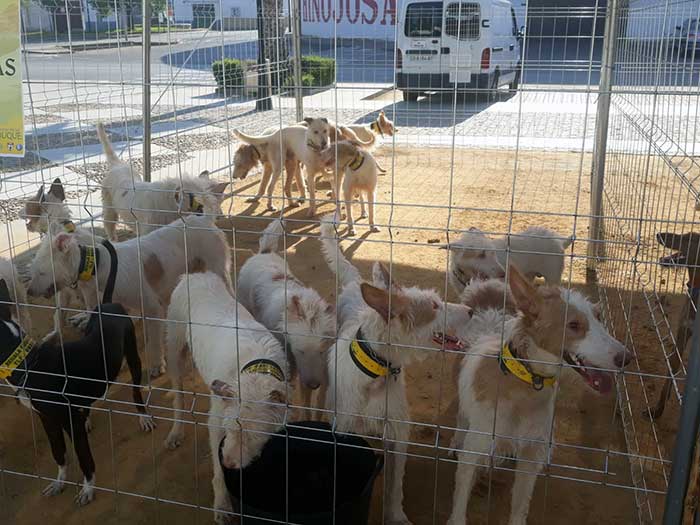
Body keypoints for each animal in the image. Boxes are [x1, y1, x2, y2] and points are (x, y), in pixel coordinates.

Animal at [27, 214, 231, 376]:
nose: (29, 292)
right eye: (33, 270)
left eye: (42, 272)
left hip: (219, 268)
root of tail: (203, 219)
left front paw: (156, 365)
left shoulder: (151, 307)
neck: (96, 265)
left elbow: (154, 341)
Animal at [165, 272, 288, 520]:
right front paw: (222, 504)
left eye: (254, 436)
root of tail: (193, 275)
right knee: (178, 394)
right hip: (174, 349)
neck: (255, 369)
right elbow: (217, 467)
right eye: (229, 429)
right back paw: (176, 430)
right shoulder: (216, 421)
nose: (230, 463)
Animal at [320, 215, 474, 520]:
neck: (375, 373)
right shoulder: (342, 429)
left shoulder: (398, 433)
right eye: (434, 306)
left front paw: (395, 516)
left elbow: (394, 485)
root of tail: (358, 282)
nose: (472, 311)